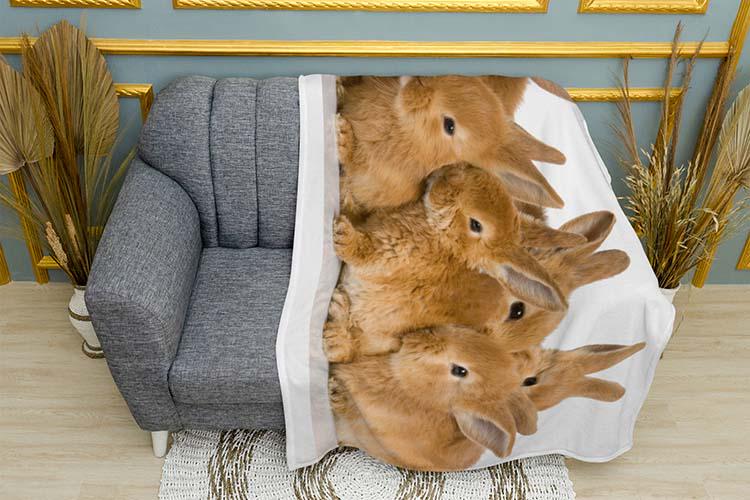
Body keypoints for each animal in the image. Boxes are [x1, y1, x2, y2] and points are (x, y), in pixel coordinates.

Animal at [324, 163, 628, 362]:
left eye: (475, 224)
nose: (443, 176)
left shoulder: (389, 248)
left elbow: (364, 249)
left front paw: (342, 234)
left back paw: (336, 327)